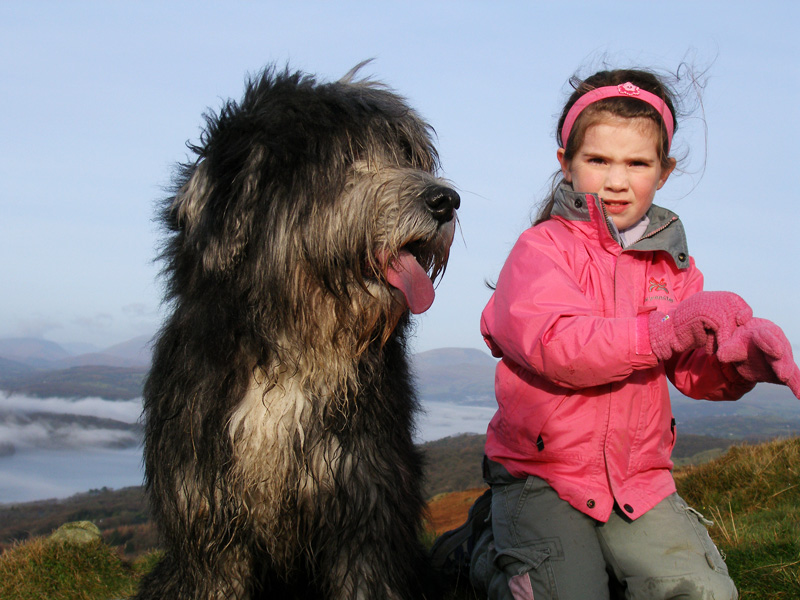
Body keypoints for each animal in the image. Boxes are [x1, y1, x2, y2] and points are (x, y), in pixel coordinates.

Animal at [135, 63, 460, 599]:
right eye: (348, 157)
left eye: (407, 156)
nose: (446, 200)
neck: (292, 347)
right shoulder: (209, 522)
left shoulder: (364, 510)